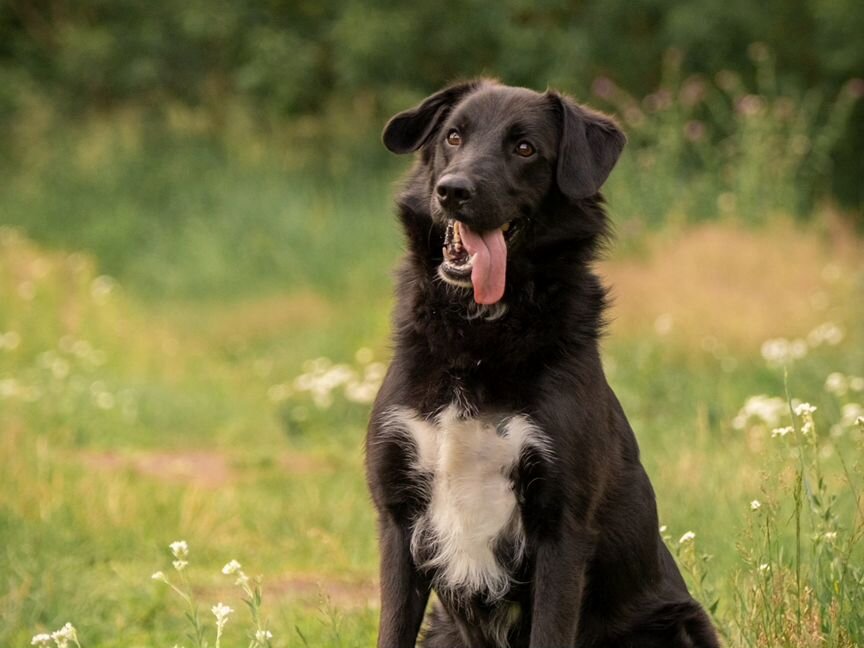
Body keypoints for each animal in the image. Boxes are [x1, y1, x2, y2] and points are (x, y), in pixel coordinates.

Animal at [362, 81, 720, 648]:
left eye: (525, 148)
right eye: (453, 136)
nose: (452, 190)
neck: (478, 337)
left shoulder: (561, 528)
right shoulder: (398, 519)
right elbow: (392, 629)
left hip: (678, 622)